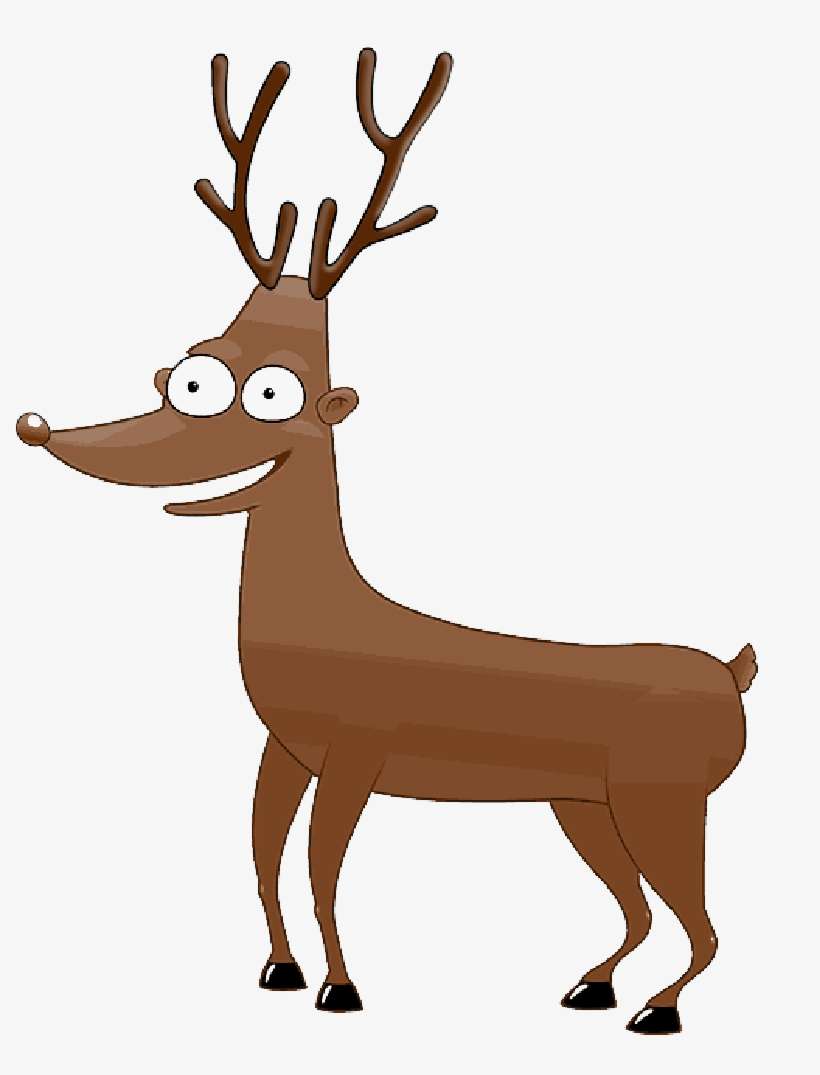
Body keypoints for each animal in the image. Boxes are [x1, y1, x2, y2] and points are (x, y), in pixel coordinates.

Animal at [16, 48, 757, 1036]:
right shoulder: (286, 749)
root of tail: (736, 674)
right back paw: (590, 988)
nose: (36, 426)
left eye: (270, 393)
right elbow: (263, 852)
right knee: (640, 911)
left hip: (661, 799)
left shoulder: (358, 752)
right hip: (583, 804)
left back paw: (656, 1012)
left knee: (703, 924)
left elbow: (322, 868)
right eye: (187, 372)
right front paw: (280, 969)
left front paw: (340, 986)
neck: (329, 619)